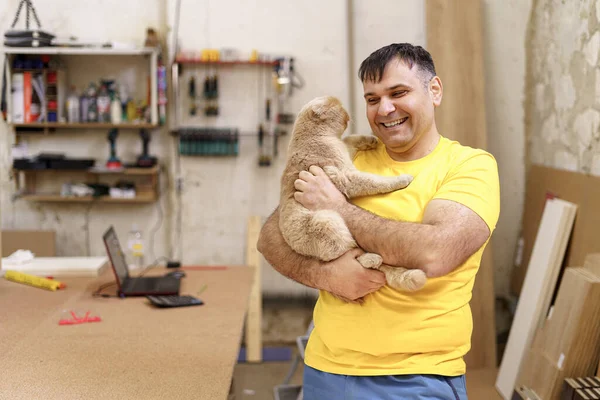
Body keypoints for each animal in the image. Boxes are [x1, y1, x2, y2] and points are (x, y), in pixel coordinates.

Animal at [280, 95, 426, 296]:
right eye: (339, 107)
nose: (348, 114)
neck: (314, 136)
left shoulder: (345, 154)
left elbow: (350, 139)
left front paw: (371, 140)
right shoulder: (347, 176)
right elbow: (375, 181)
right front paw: (402, 179)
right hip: (327, 221)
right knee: (349, 255)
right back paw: (371, 259)